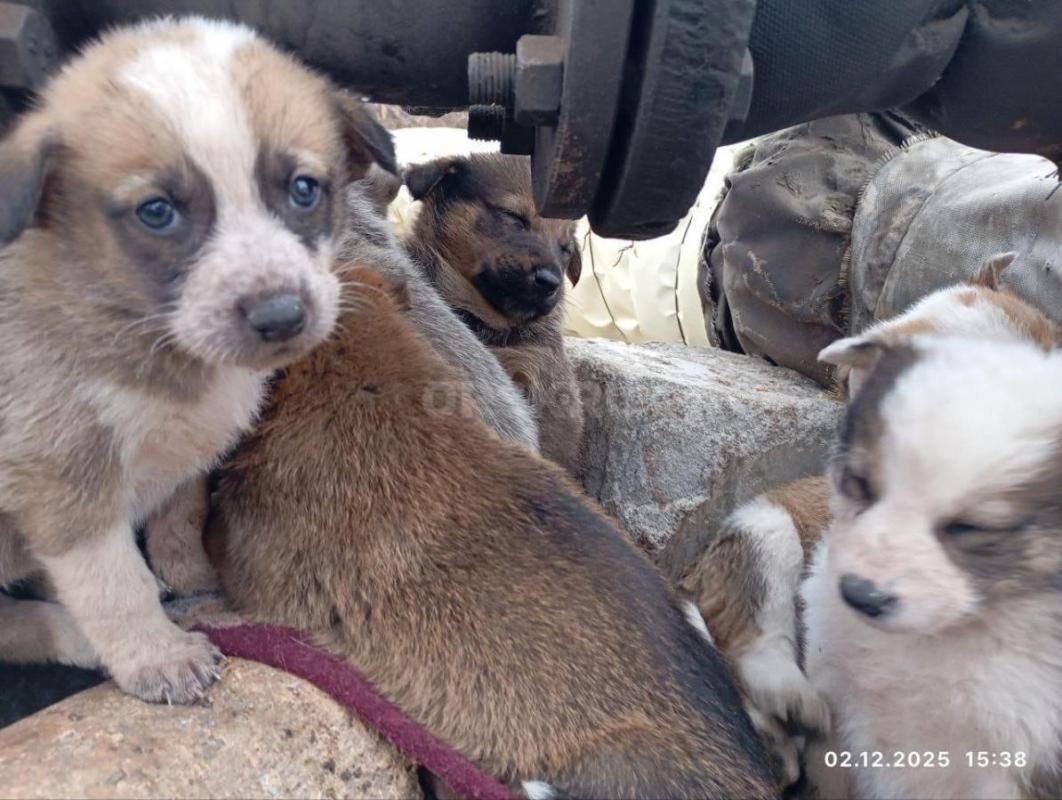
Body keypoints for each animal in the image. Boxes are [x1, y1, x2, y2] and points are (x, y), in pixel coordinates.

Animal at [0, 17, 398, 703]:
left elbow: (179, 520)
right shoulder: (63, 481)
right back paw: (71, 634)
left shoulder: (186, 453)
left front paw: (196, 584)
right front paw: (158, 656)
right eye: (157, 212)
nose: (281, 316)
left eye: (303, 189)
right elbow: (116, 584)